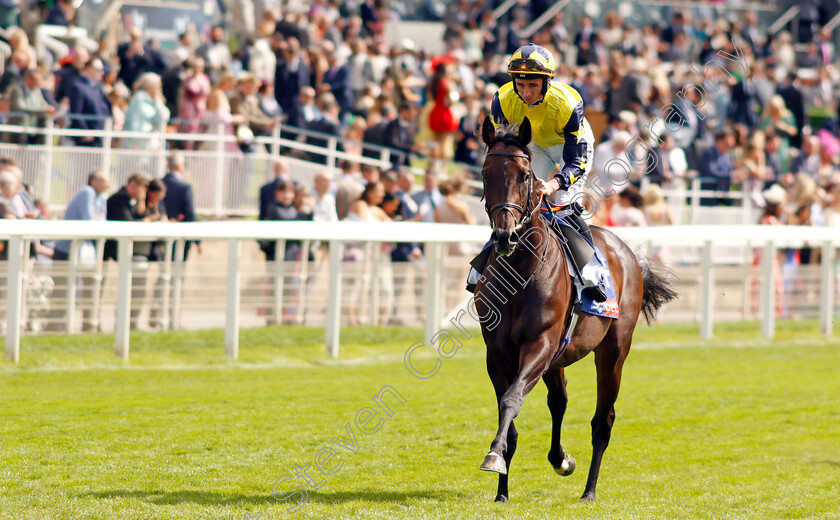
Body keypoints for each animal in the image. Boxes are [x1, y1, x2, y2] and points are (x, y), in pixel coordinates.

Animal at [476, 117, 680, 504]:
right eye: (485, 173)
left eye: (525, 176)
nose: (505, 236)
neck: (520, 273)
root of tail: (626, 252)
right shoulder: (497, 353)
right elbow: (510, 412)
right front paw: (501, 491)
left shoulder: (540, 343)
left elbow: (511, 400)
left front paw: (492, 457)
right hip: (557, 357)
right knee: (559, 400)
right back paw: (561, 460)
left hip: (612, 351)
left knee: (603, 421)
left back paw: (589, 490)